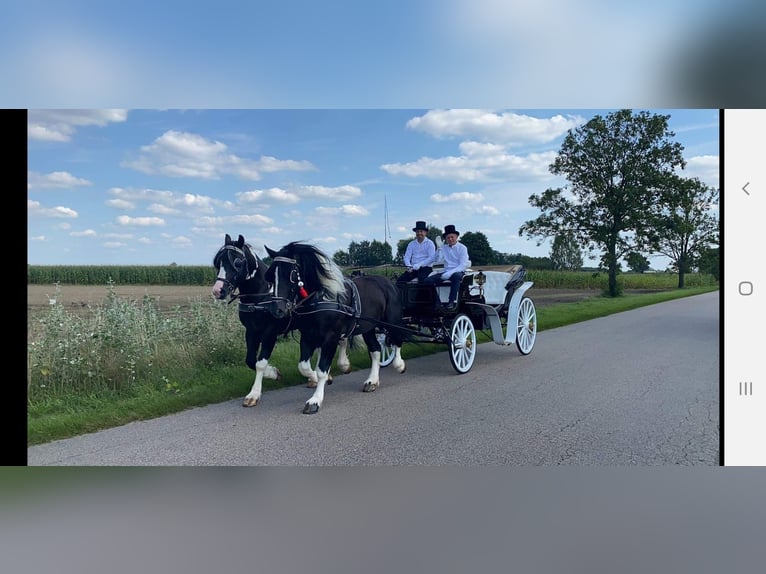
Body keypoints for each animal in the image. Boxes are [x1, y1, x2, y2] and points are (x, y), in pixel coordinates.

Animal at [213, 235, 292, 410]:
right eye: (217, 262)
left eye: (237, 262)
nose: (217, 290)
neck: (261, 297)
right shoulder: (251, 331)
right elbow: (250, 360)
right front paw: (274, 373)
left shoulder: (270, 332)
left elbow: (260, 363)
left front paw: (254, 394)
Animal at [266, 242, 408, 414]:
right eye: (270, 275)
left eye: (291, 274)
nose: (276, 310)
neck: (321, 298)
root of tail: (387, 282)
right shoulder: (307, 336)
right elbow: (304, 366)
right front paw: (320, 377)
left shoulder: (330, 337)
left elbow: (322, 369)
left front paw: (315, 400)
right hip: (368, 327)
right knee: (375, 350)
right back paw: (372, 381)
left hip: (391, 320)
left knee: (397, 339)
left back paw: (399, 365)